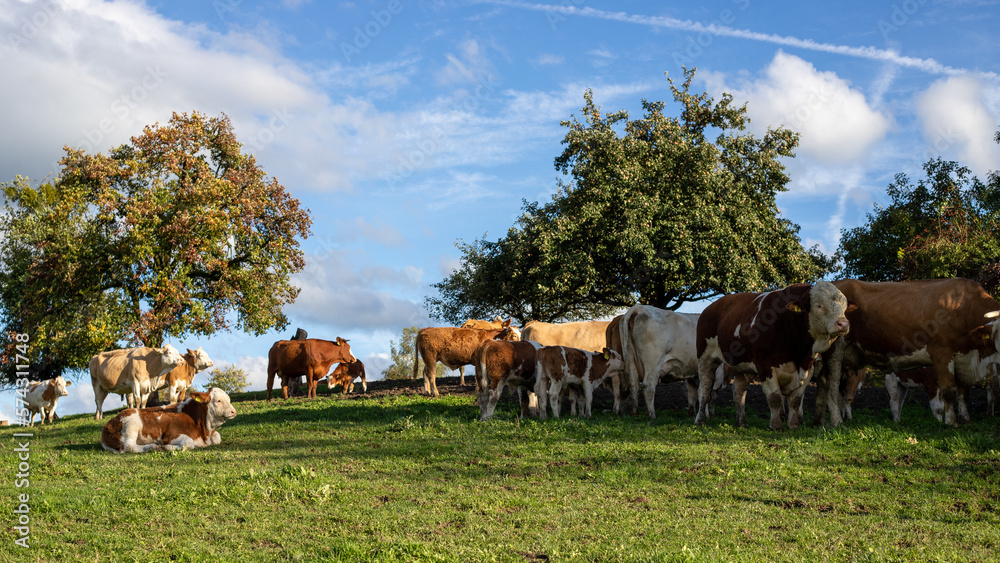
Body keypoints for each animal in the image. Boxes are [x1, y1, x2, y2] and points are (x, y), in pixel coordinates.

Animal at [100, 388, 237, 453]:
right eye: (218, 400)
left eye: (229, 399)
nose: (233, 411)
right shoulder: (171, 434)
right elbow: (189, 443)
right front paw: (167, 447)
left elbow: (218, 437)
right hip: (131, 424)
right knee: (129, 446)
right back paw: (152, 447)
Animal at [694, 281, 853, 430]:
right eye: (819, 305)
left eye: (844, 307)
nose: (843, 324)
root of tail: (709, 308)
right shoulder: (765, 367)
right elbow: (775, 397)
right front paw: (776, 426)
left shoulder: (808, 368)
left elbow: (795, 401)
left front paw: (793, 425)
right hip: (705, 358)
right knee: (704, 389)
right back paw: (700, 421)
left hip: (742, 366)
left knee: (739, 393)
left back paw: (742, 423)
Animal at [821, 278, 1000, 427]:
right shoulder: (941, 353)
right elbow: (949, 391)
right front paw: (951, 423)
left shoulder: (964, 359)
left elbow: (963, 393)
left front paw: (965, 419)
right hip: (834, 350)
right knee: (832, 386)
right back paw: (836, 421)